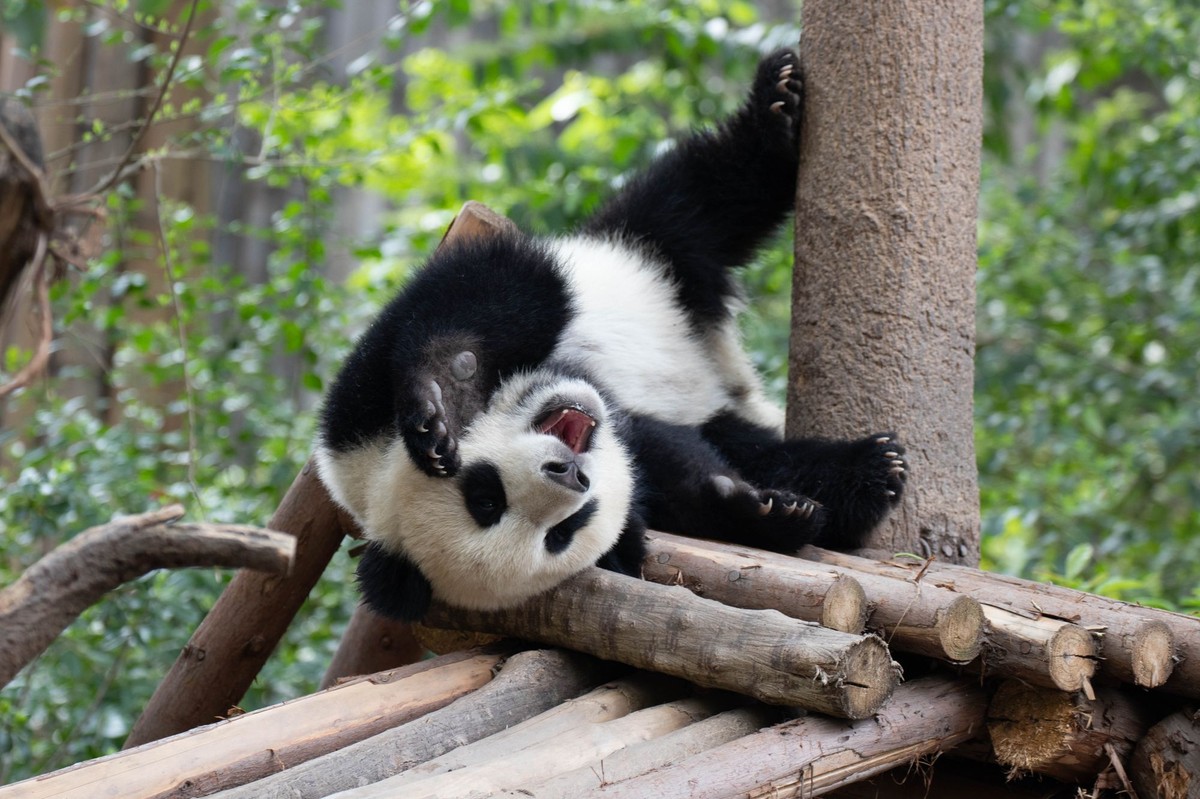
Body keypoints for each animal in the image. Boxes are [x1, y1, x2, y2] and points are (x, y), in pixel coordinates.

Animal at [315, 48, 907, 622]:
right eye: (559, 533)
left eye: (482, 494)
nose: (567, 472)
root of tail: (719, 370)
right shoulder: (641, 474)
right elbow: (670, 473)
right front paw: (765, 511)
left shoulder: (353, 417)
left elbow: (470, 302)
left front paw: (443, 394)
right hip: (716, 405)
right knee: (760, 446)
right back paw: (871, 471)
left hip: (639, 259)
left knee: (701, 198)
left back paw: (777, 104)